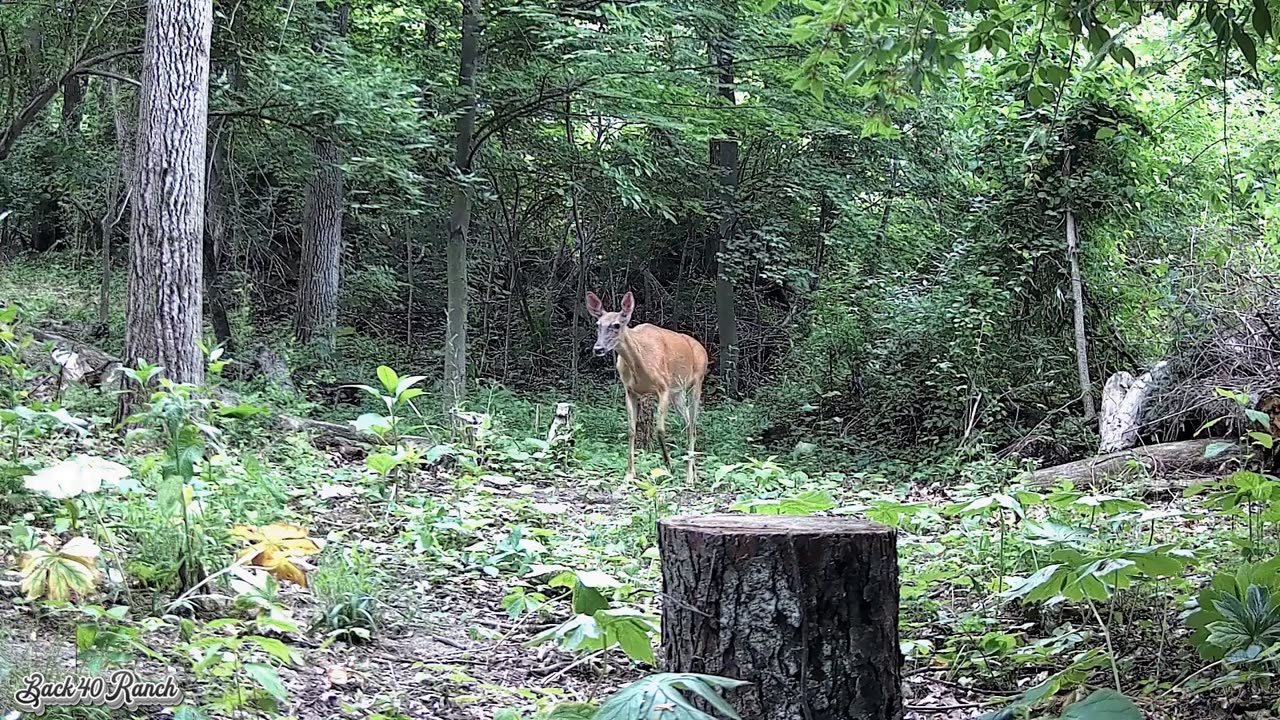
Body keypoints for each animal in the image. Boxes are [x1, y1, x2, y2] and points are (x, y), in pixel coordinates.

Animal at [586, 289, 711, 481]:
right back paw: (694, 473)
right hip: (677, 393)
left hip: (697, 382)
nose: (598, 349)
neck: (639, 366)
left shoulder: (664, 387)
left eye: (616, 325)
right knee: (688, 424)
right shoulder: (630, 390)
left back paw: (689, 477)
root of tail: (702, 349)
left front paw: (669, 466)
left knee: (692, 427)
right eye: (597, 324)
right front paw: (630, 473)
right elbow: (631, 429)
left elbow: (659, 429)